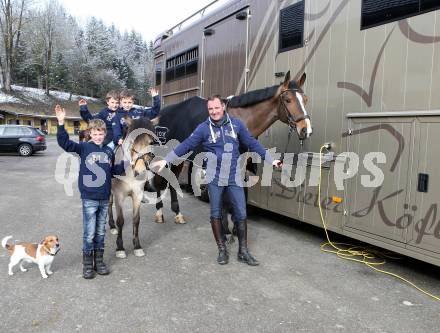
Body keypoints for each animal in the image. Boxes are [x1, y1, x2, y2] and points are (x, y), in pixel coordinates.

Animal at [108, 116, 156, 256]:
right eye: (132, 141)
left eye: (151, 142)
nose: (140, 171)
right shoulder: (119, 196)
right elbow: (120, 220)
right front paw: (120, 248)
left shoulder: (137, 195)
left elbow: (136, 219)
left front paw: (137, 246)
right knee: (109, 205)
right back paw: (112, 227)